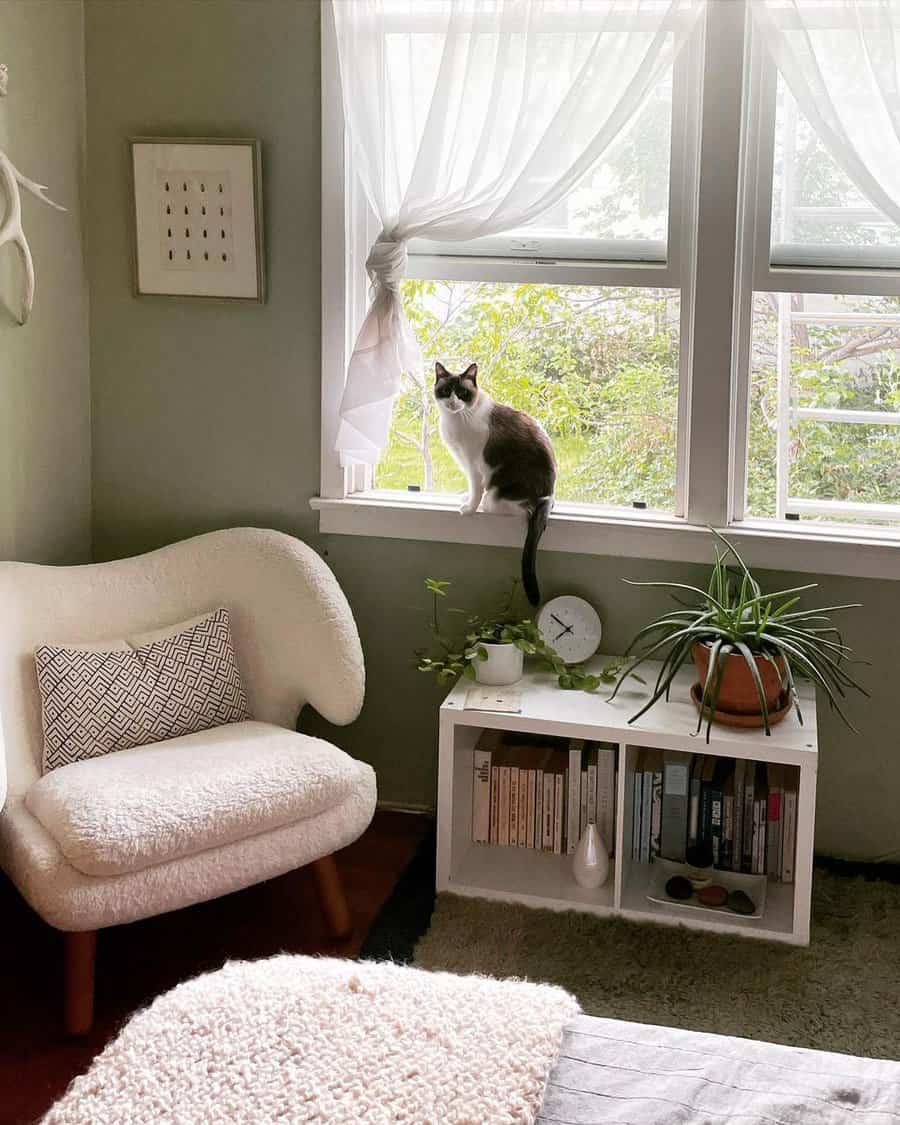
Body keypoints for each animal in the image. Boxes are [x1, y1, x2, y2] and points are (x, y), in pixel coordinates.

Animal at [434, 360, 555, 607]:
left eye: (462, 393)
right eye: (446, 390)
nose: (453, 402)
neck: (456, 419)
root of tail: (547, 496)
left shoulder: (472, 464)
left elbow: (475, 488)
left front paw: (469, 508)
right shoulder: (463, 461)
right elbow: (470, 488)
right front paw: (465, 498)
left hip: (496, 495)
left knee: (511, 507)